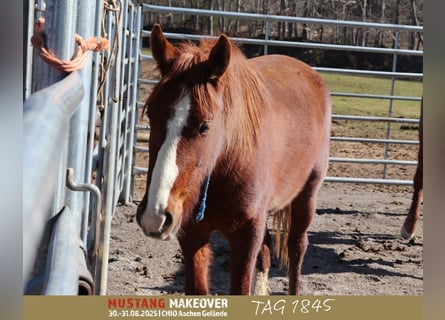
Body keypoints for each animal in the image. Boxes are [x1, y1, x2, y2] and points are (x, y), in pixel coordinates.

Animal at [135, 25, 330, 296]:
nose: (156, 215)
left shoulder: (245, 237)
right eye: (151, 115)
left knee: (297, 247)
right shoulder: (193, 235)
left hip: (306, 196)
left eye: (205, 126)